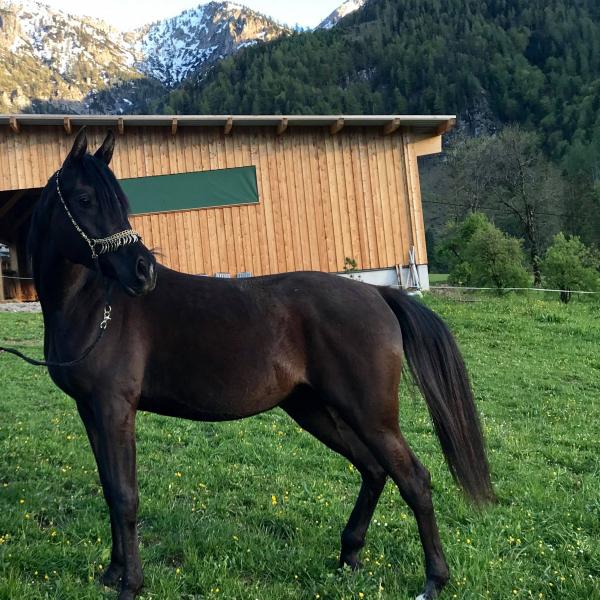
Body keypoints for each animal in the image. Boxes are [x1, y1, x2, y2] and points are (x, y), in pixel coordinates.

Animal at [20, 128, 493, 600]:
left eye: (119, 201)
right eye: (85, 199)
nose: (143, 272)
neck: (95, 306)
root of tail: (377, 294)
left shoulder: (115, 408)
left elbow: (124, 495)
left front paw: (130, 583)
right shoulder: (90, 410)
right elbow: (108, 487)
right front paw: (112, 572)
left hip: (370, 416)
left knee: (414, 479)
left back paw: (433, 579)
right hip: (313, 409)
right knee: (375, 471)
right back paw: (349, 554)